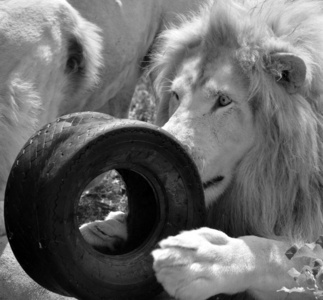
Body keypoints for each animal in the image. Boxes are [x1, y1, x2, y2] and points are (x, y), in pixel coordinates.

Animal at [81, 0, 323, 298]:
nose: (166, 153)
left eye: (223, 100)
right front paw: (111, 227)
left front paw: (202, 259)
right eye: (176, 95)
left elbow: (281, 253)